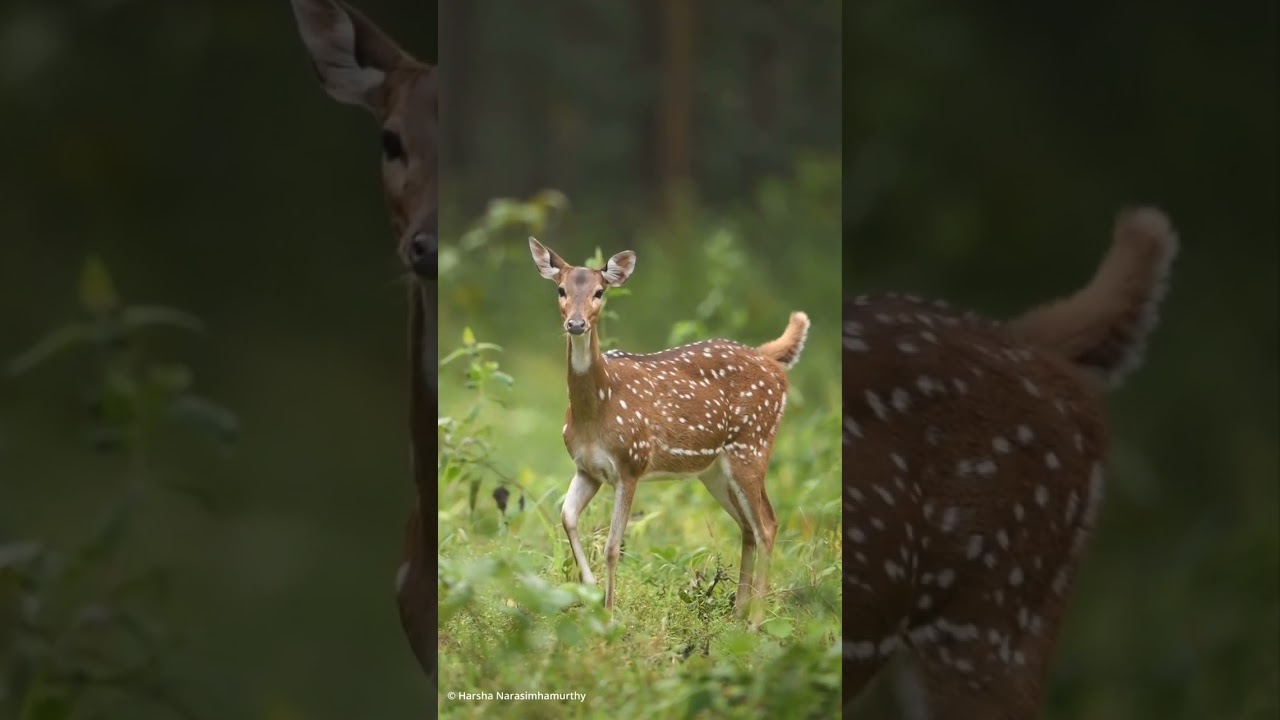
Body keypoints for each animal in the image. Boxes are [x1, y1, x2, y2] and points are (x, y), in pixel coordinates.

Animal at [527, 237, 810, 626]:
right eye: (561, 290)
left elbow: (612, 547)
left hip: (752, 445)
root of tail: (770, 359)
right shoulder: (587, 469)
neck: (597, 409)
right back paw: (736, 614)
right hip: (713, 470)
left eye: (600, 291)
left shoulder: (631, 463)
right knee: (747, 526)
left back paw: (755, 622)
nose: (576, 323)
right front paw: (592, 596)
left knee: (767, 524)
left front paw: (610, 616)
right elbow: (566, 517)